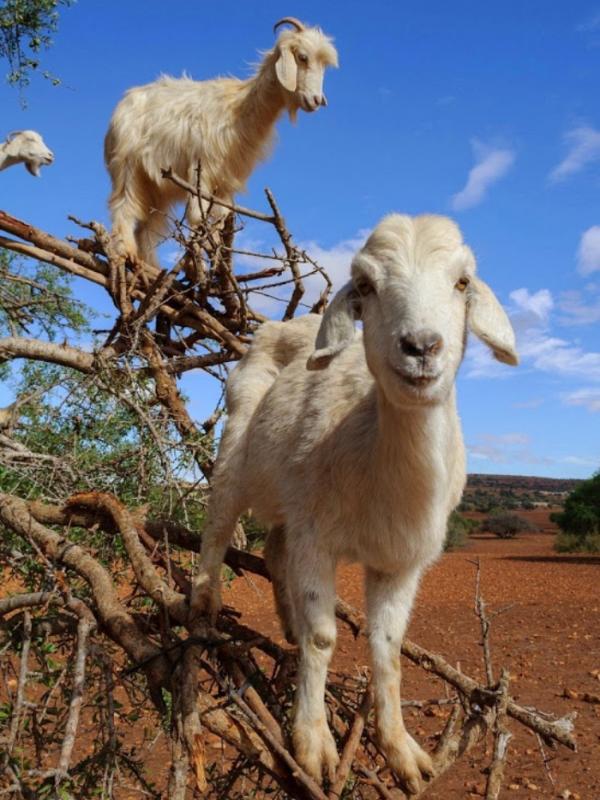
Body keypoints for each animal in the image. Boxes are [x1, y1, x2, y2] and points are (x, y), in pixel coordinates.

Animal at [103, 17, 338, 268]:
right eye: (302, 57)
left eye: (324, 65)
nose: (316, 100)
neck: (237, 109)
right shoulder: (200, 169)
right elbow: (197, 215)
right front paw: (200, 256)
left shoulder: (225, 182)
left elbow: (219, 218)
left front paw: (215, 255)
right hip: (127, 166)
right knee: (124, 206)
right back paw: (126, 252)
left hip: (158, 187)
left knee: (147, 227)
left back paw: (150, 267)